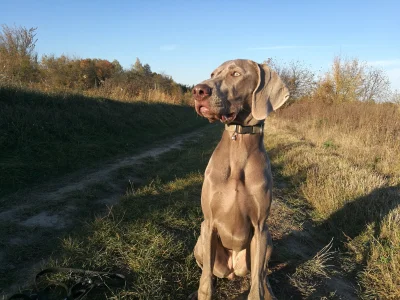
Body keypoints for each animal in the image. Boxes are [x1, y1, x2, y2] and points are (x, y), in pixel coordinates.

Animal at [191, 59, 290, 300]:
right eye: (213, 74)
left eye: (235, 73)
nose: (198, 90)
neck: (239, 143)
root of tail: (232, 271)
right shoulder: (209, 222)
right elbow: (206, 283)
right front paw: (204, 290)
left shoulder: (260, 226)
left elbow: (256, 286)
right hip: (200, 240)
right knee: (207, 270)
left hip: (268, 239)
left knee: (261, 274)